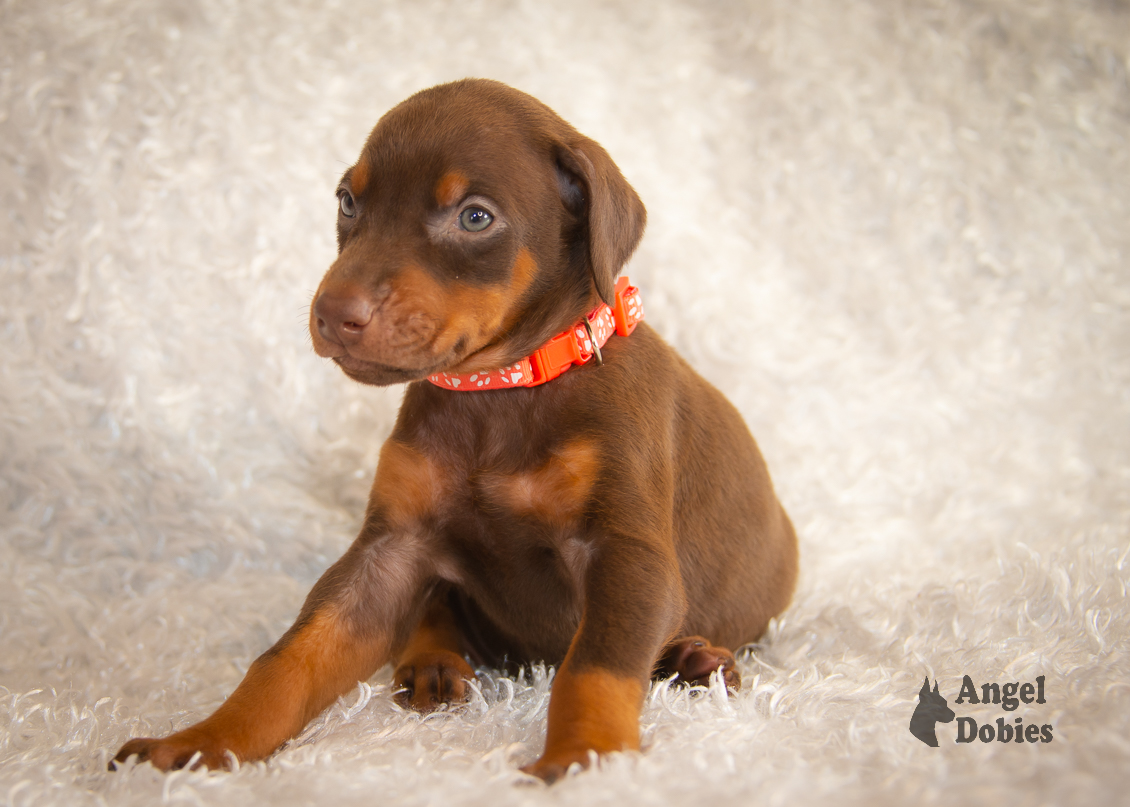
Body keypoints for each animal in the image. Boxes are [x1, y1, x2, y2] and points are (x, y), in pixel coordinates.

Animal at [114, 76, 800, 777]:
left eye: (475, 217)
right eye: (348, 202)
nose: (332, 314)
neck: (496, 393)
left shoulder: (625, 553)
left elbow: (595, 668)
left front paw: (583, 758)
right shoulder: (391, 548)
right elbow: (289, 659)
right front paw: (200, 744)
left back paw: (697, 660)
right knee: (433, 611)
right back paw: (433, 664)